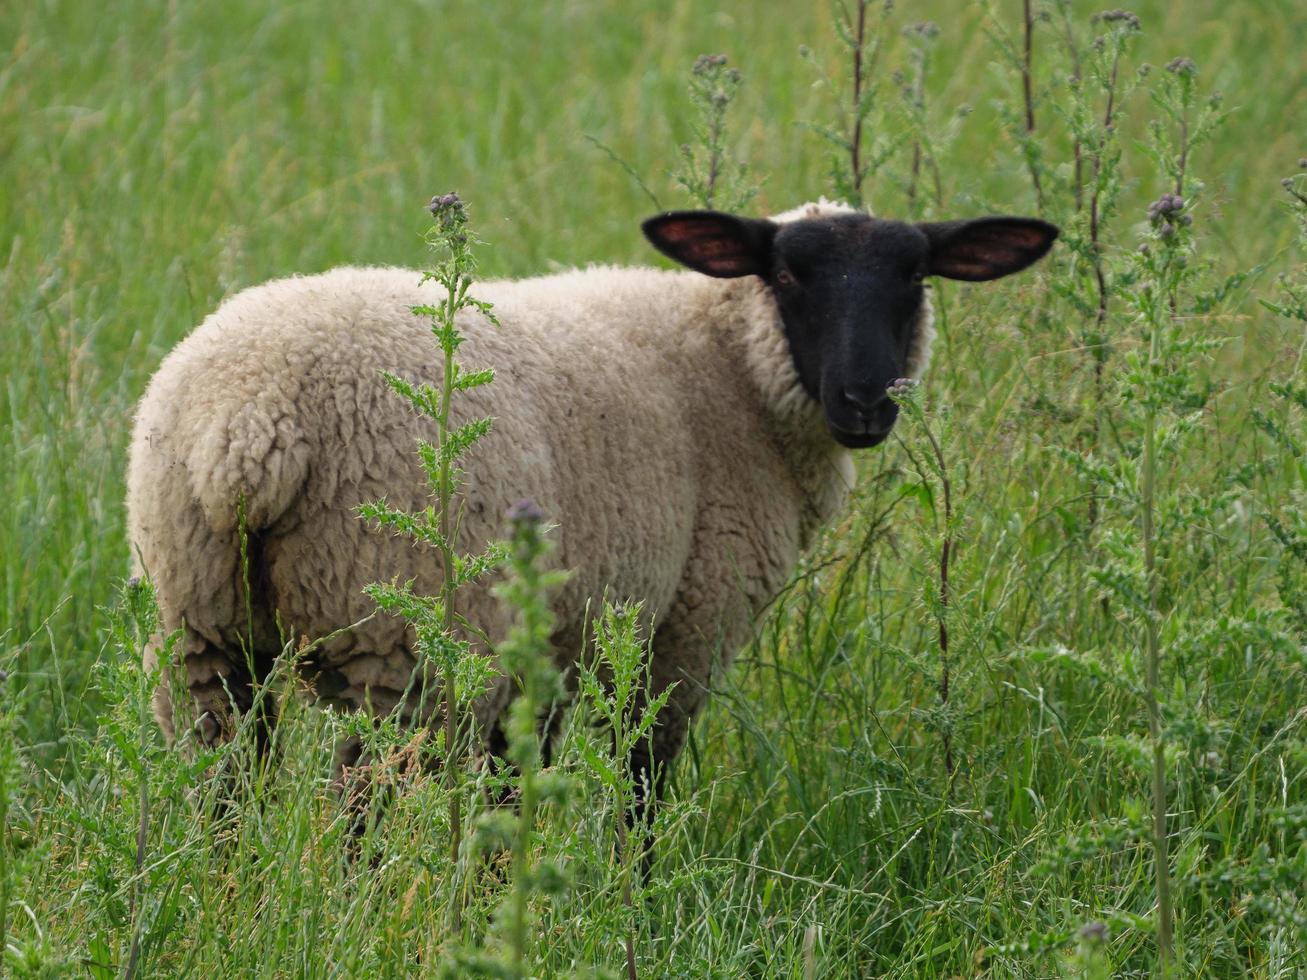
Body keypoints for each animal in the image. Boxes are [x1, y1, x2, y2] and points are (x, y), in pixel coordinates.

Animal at [127, 199, 1056, 815]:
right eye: (789, 273)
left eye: (915, 277)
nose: (866, 402)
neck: (732, 367)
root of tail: (249, 419)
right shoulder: (688, 622)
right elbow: (643, 778)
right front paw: (632, 903)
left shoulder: (557, 641)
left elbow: (516, 778)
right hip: (403, 635)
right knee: (366, 805)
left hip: (199, 625)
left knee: (220, 793)